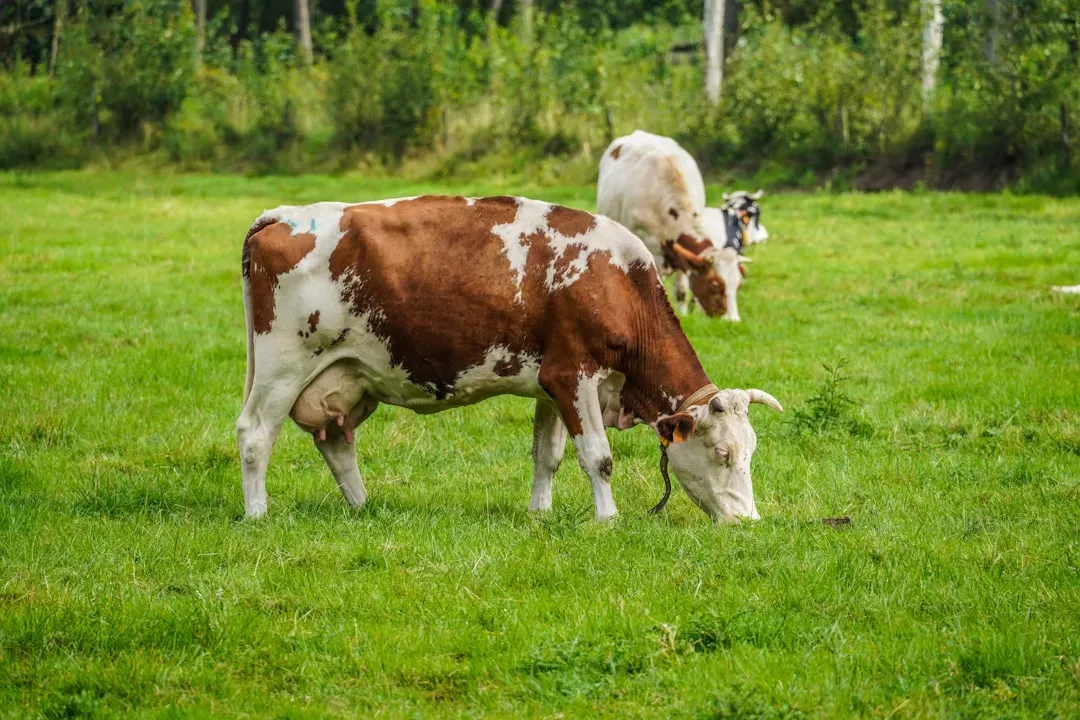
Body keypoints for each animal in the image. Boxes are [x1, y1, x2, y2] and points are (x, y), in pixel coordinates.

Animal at [237, 195, 783, 524]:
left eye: (751, 453)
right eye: (723, 454)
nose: (748, 521)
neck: (616, 282)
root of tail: (280, 216)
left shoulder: (552, 384)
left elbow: (549, 455)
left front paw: (540, 513)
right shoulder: (573, 375)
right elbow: (598, 457)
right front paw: (607, 519)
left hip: (345, 377)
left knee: (335, 441)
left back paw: (363, 508)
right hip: (283, 366)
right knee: (255, 435)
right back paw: (258, 513)